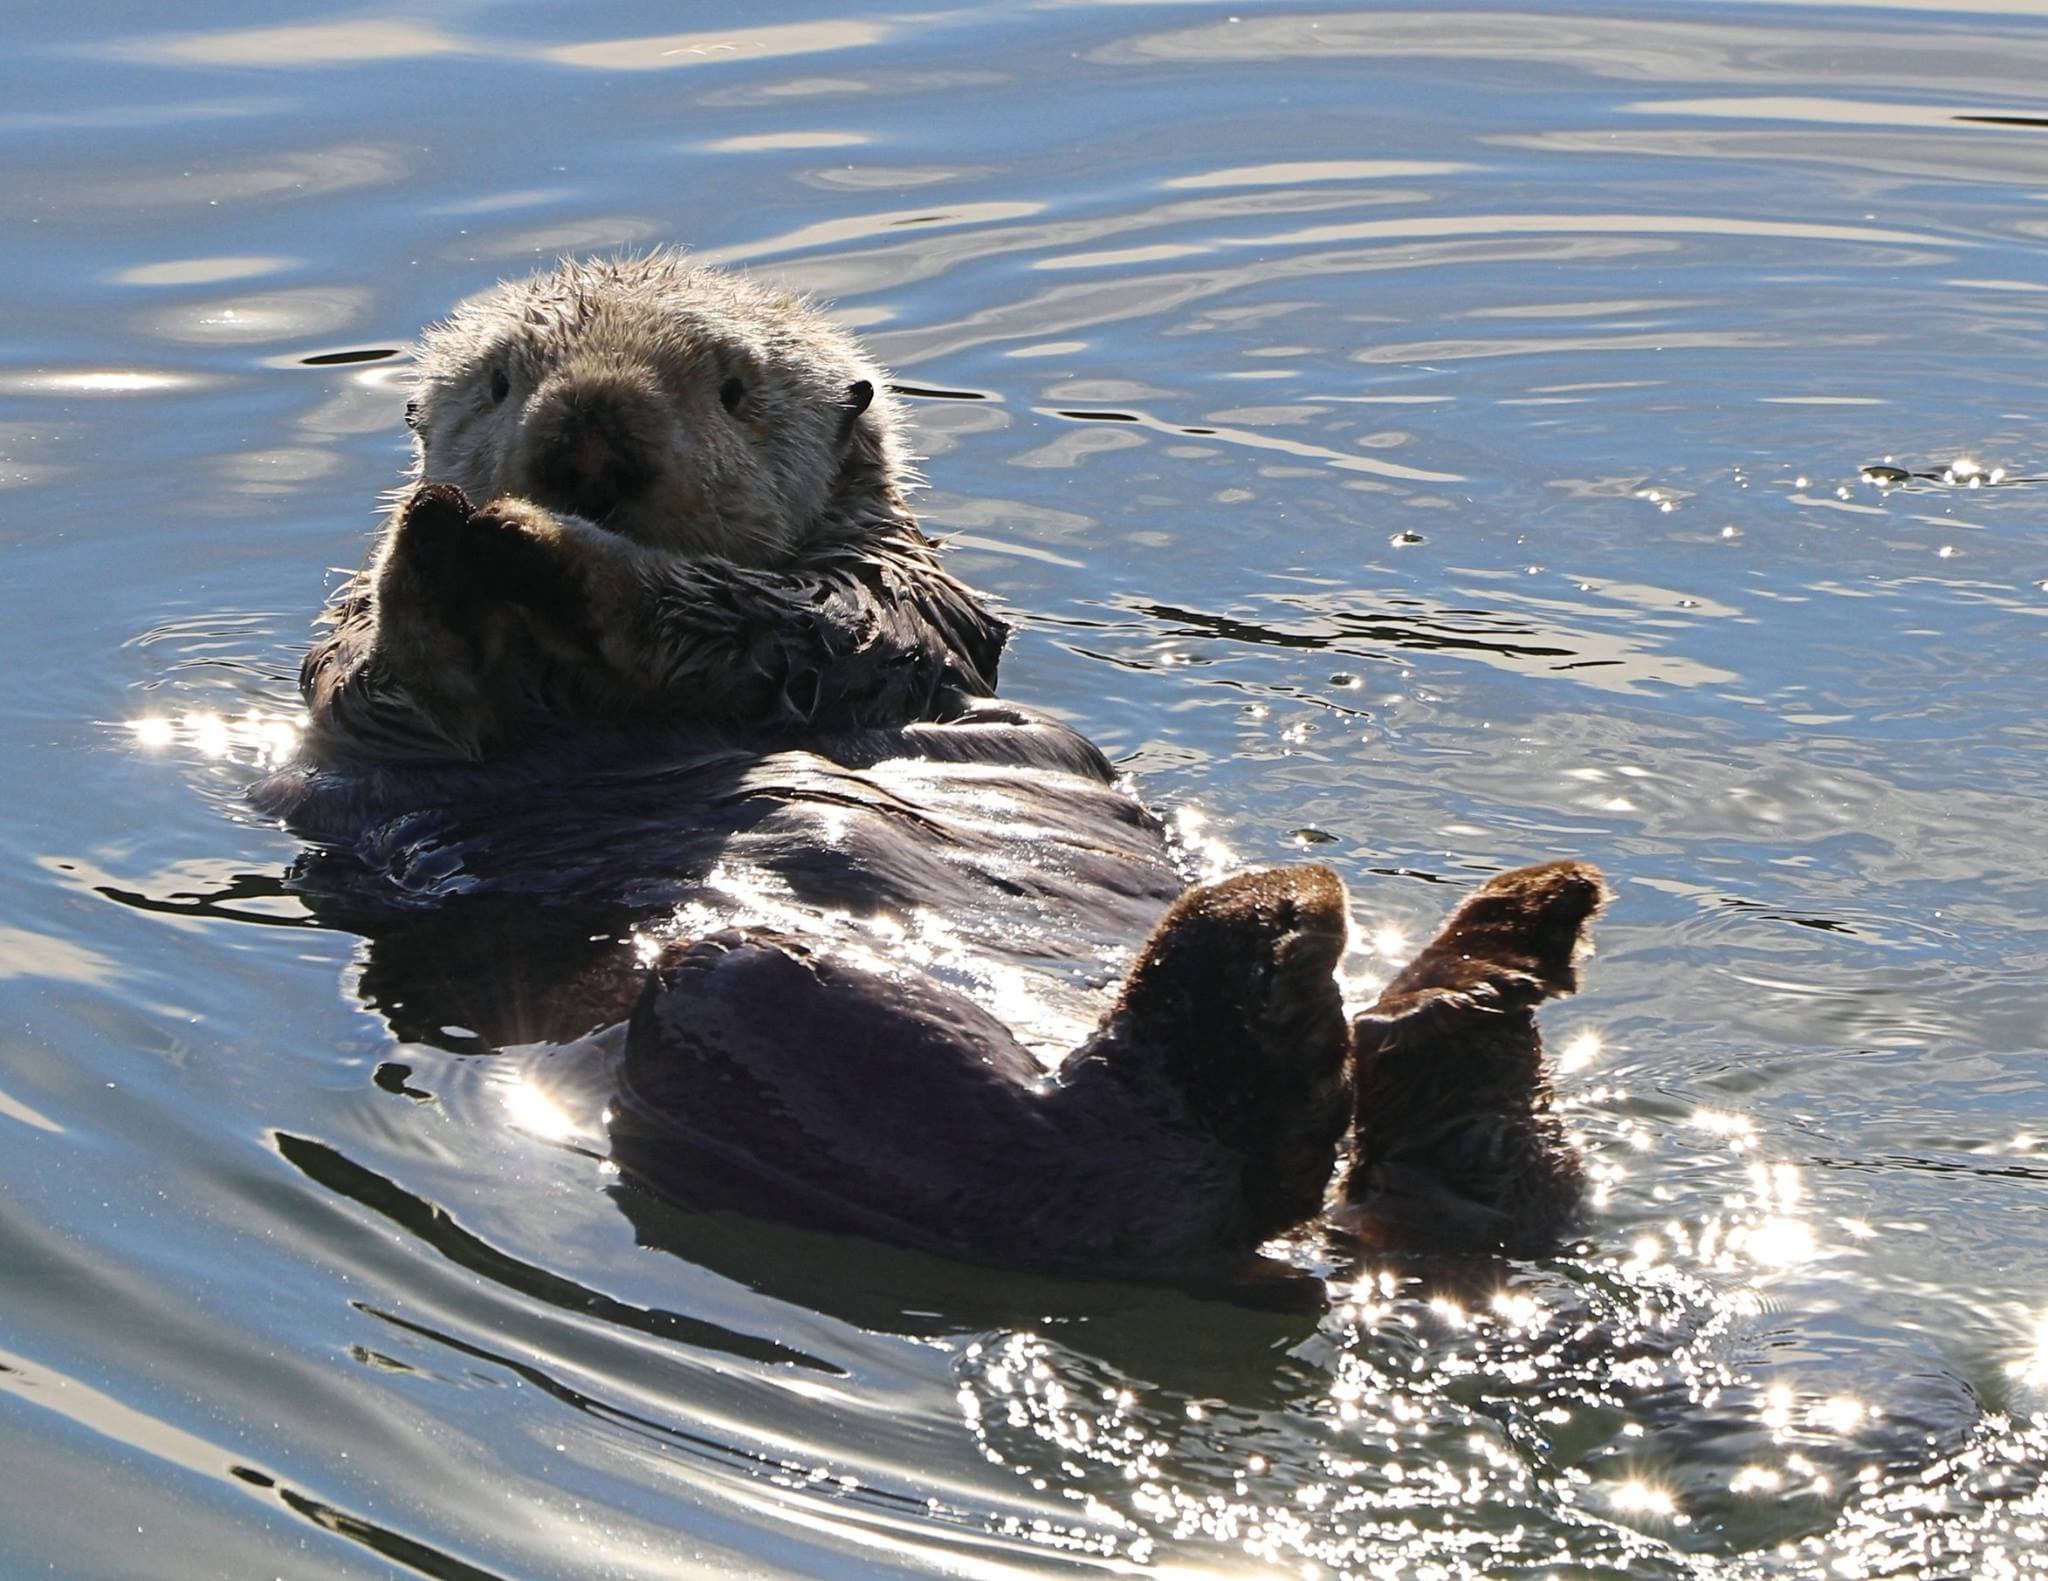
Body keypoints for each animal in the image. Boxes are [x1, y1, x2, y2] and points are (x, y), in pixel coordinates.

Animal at [257, 251, 1604, 1280]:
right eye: (499, 380)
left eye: (733, 390)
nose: (589, 444)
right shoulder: (374, 694)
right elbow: (390, 675)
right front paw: (443, 532)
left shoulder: (885, 605)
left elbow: (778, 620)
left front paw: (530, 540)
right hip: (746, 1023)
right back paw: (1390, 968)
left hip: (758, 1016)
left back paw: (1425, 949)